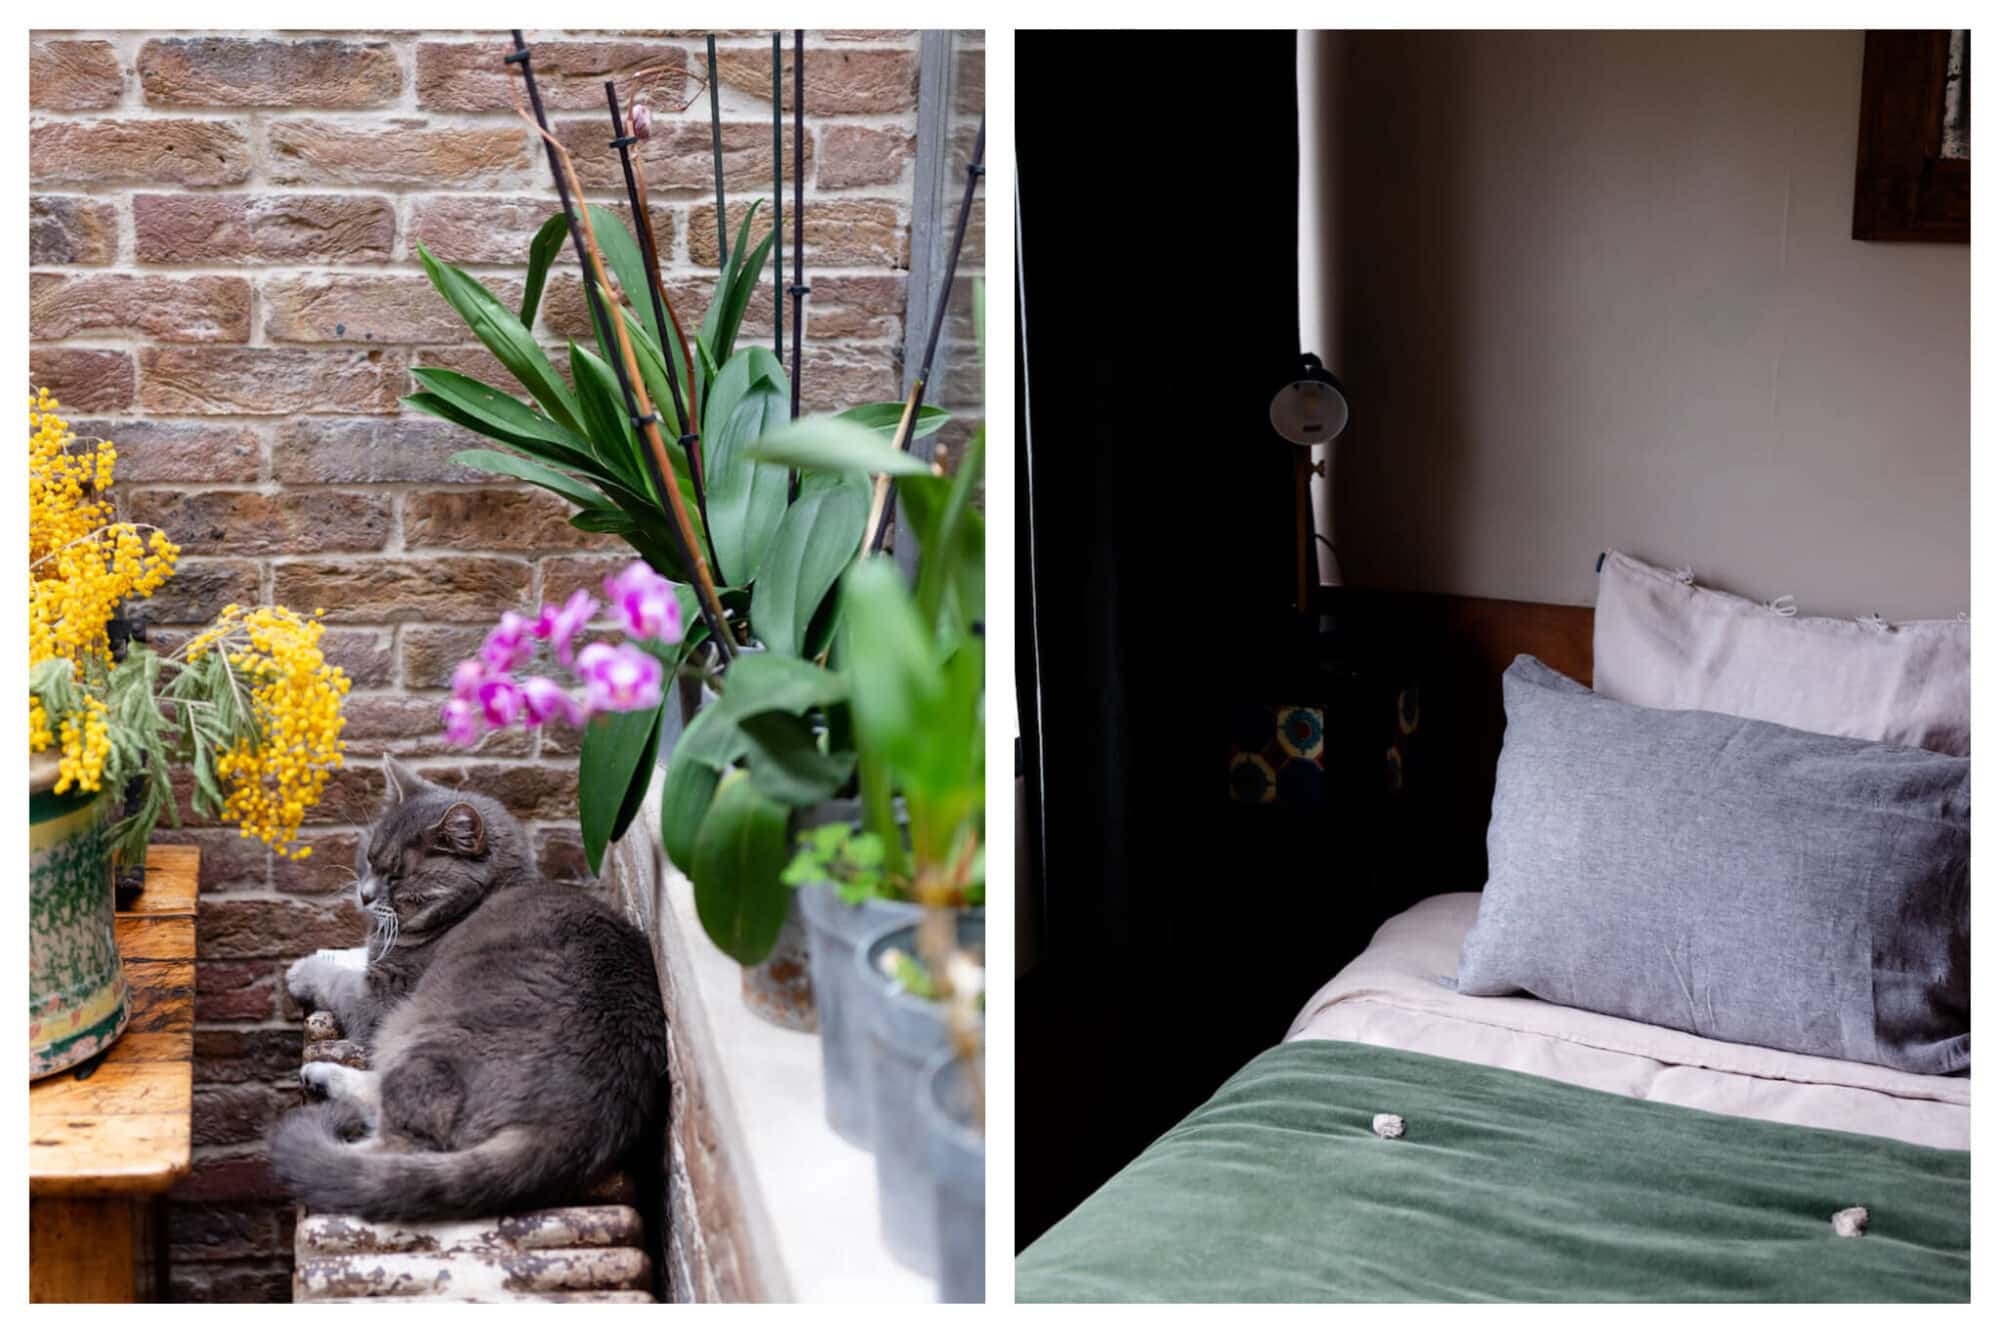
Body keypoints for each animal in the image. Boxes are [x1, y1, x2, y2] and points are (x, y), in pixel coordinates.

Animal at [272, 756, 672, 1216]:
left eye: (399, 875)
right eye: (368, 858)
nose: (365, 895)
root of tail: (583, 1121)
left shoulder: (381, 999)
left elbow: (338, 982)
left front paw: (303, 969)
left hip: (421, 1041)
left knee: (395, 1152)